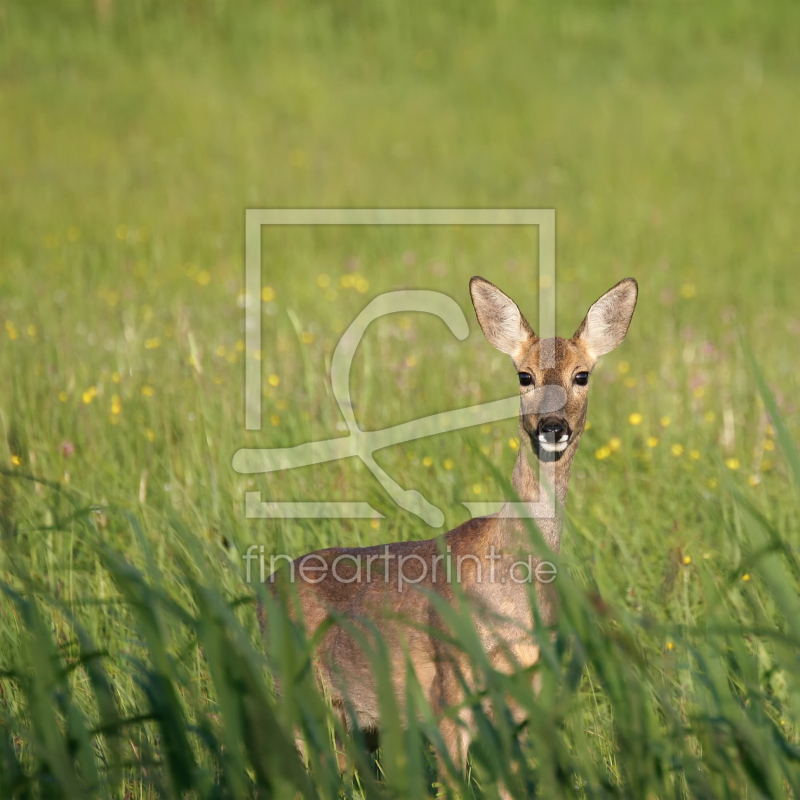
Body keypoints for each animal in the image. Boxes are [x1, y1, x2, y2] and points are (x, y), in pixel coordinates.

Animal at [266, 276, 640, 792]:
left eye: (582, 375)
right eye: (523, 376)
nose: (552, 427)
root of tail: (265, 583)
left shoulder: (524, 699)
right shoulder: (446, 692)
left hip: (356, 720)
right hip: (294, 690)